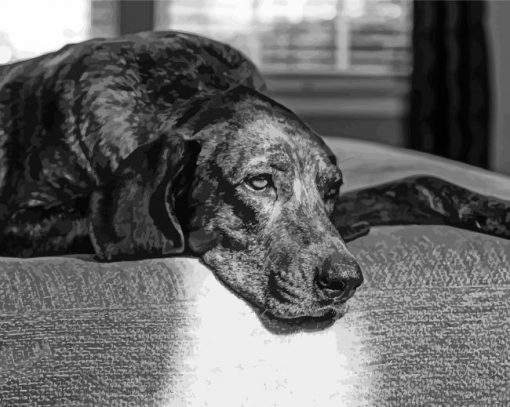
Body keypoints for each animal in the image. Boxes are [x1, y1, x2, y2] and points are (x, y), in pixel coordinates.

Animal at [0, 31, 510, 332]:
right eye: (259, 183)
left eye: (330, 191)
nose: (345, 281)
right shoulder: (18, 222)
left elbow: (422, 181)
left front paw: (496, 210)